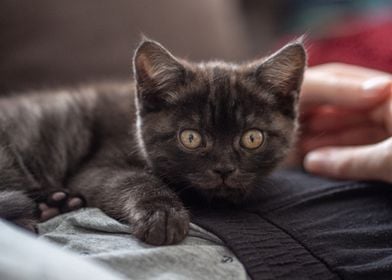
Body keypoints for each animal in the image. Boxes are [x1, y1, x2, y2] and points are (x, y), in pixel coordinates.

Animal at [0, 39, 306, 245]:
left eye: (252, 138)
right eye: (191, 138)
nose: (224, 169)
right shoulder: (96, 168)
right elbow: (135, 180)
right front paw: (162, 214)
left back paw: (54, 203)